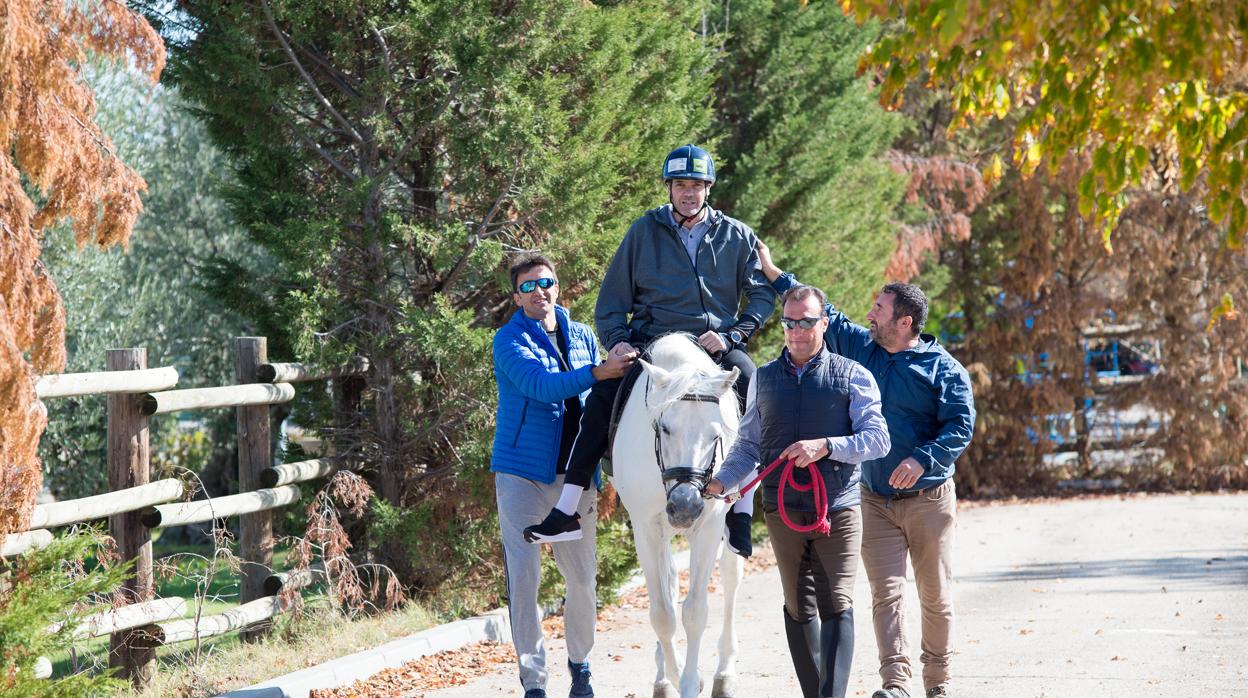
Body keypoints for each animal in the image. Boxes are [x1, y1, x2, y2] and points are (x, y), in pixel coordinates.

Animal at [609, 332, 743, 698]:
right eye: (664, 428)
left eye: (716, 434)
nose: (685, 506)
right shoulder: (645, 528)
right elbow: (662, 613)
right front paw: (671, 674)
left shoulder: (709, 526)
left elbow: (695, 612)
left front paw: (691, 681)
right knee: (669, 581)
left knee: (731, 575)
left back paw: (724, 673)